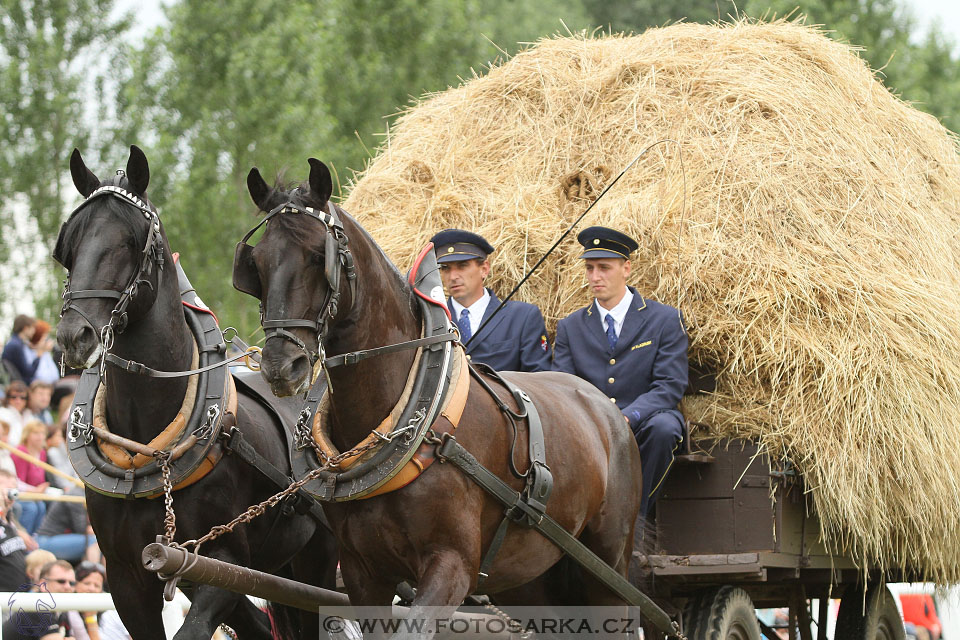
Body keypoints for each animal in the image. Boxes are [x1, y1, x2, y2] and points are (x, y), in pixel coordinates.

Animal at [54, 146, 338, 640]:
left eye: (130, 242)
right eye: (69, 246)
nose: (75, 336)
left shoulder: (222, 561)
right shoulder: (130, 577)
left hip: (315, 559)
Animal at [239, 159, 644, 636]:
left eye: (319, 257)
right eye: (257, 264)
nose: (281, 366)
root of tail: (607, 409)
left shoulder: (451, 566)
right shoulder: (363, 574)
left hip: (607, 569)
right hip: (530, 578)